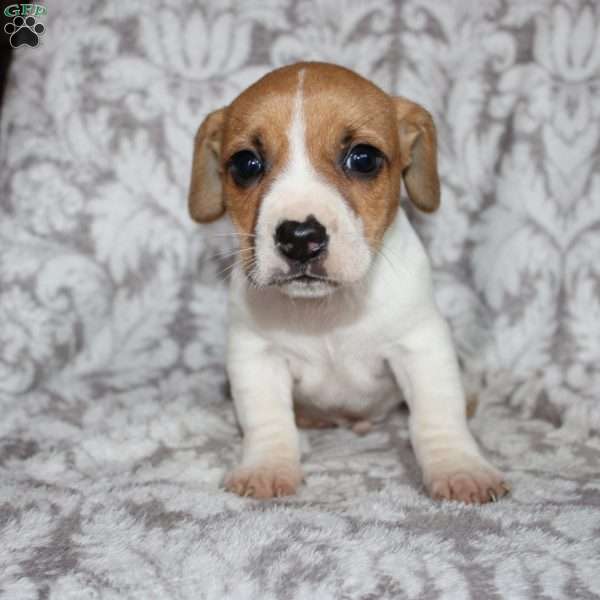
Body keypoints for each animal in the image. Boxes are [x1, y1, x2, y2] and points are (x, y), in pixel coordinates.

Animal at [188, 61, 506, 504]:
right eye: (245, 164)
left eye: (364, 159)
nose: (299, 237)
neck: (328, 311)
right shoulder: (256, 355)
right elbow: (266, 419)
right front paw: (268, 465)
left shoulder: (421, 345)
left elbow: (437, 413)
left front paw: (459, 467)